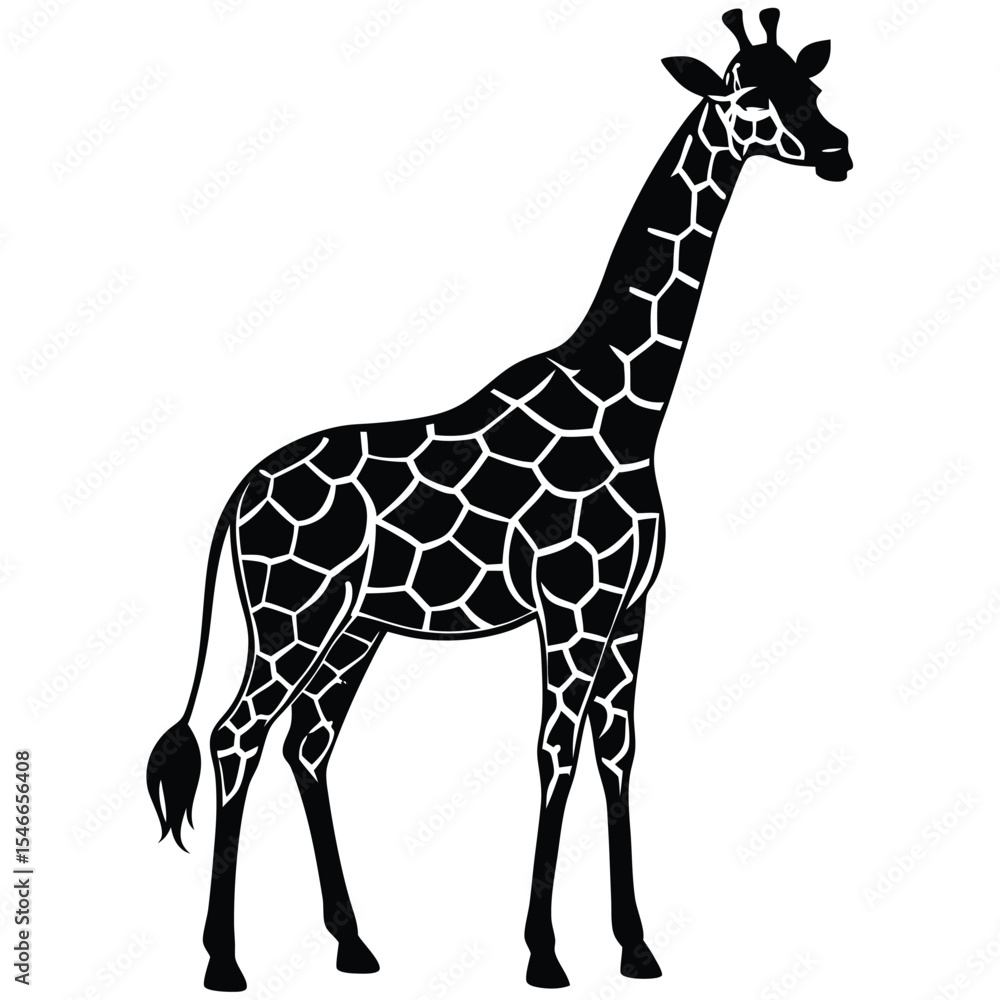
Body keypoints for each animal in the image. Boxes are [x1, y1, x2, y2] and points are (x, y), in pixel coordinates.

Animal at [147, 8, 851, 991]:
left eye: (811, 86)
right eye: (750, 96)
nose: (837, 151)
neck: (629, 409)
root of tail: (237, 495)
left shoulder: (628, 608)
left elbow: (616, 753)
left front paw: (636, 947)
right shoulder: (572, 605)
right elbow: (554, 753)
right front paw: (545, 955)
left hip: (356, 628)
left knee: (307, 743)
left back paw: (354, 945)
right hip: (295, 615)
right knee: (235, 737)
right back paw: (223, 961)